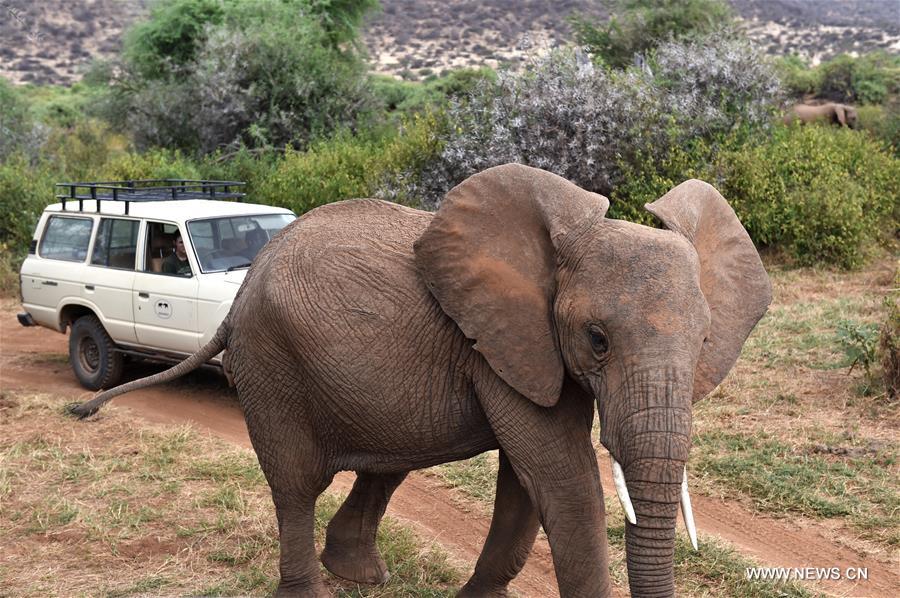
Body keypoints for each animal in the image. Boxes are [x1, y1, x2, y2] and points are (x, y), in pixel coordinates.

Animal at [72, 164, 772, 598]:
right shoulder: (501, 343)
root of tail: (243, 288)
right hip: (271, 361)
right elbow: (561, 478)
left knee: (387, 462)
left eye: (705, 341)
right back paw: (314, 587)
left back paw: (360, 575)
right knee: (296, 484)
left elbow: (527, 483)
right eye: (597, 340)